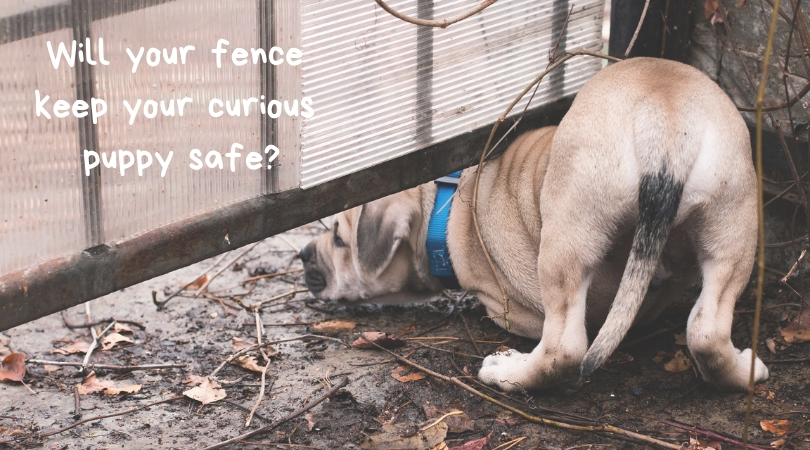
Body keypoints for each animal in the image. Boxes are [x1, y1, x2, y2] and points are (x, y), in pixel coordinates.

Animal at [300, 57, 768, 390]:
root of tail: (665, 114)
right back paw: (745, 369)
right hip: (734, 223)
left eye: (339, 239)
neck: (443, 207)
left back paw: (508, 374)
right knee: (707, 330)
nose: (302, 253)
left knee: (565, 346)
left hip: (567, 238)